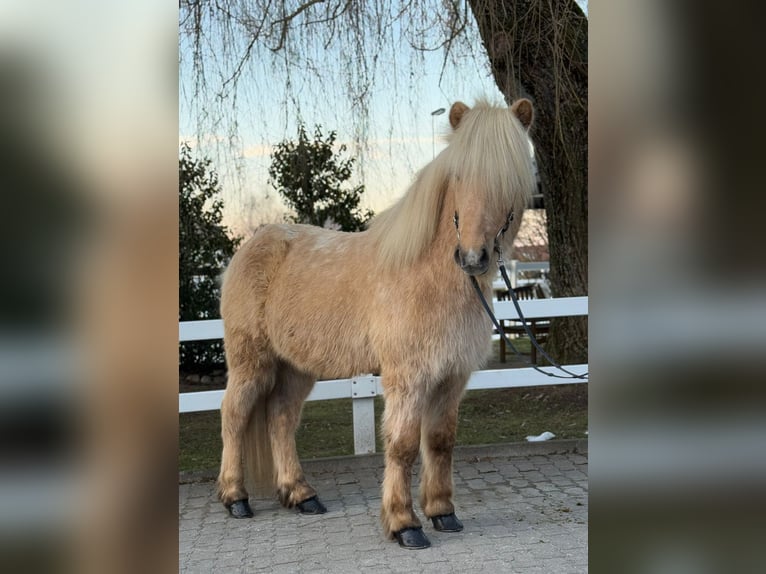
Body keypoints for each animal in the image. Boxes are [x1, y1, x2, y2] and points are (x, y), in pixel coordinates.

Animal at [219, 98, 536, 548]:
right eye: (458, 174)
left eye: (510, 176)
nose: (473, 257)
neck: (430, 275)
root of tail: (251, 247)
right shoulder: (408, 377)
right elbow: (403, 446)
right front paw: (405, 524)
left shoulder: (451, 376)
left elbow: (440, 442)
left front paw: (443, 512)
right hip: (251, 363)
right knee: (234, 416)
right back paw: (235, 498)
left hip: (296, 367)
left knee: (280, 419)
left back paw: (302, 495)